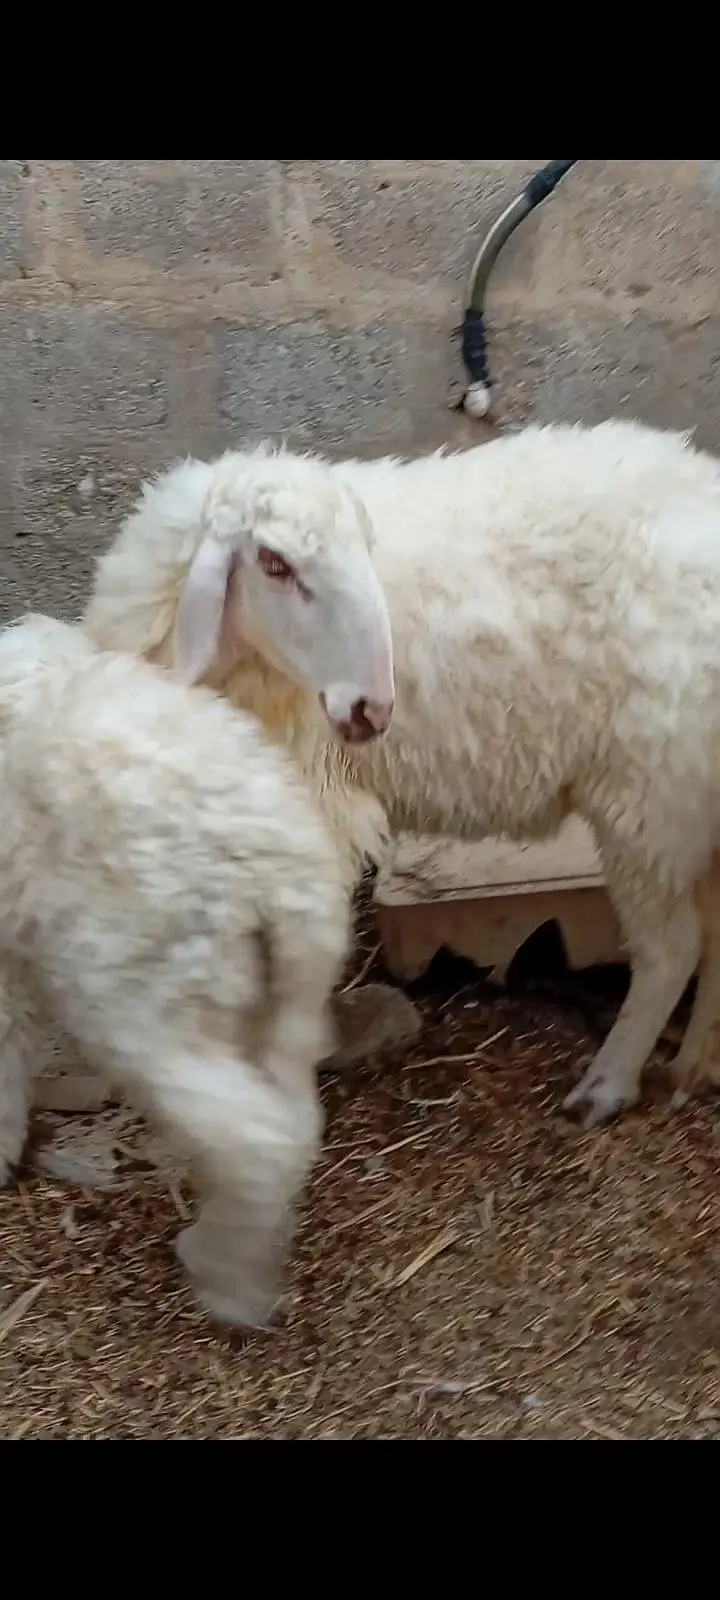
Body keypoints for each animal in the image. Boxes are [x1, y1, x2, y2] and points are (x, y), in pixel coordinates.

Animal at [0, 612, 350, 1327]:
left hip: (139, 998)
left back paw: (225, 1283)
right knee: (292, 1123)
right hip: (270, 1002)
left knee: (255, 1141)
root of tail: (277, 874)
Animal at [84, 417, 720, 1131]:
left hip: (651, 794)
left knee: (672, 949)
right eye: (274, 564)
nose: (372, 708)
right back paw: (696, 1064)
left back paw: (608, 1084)